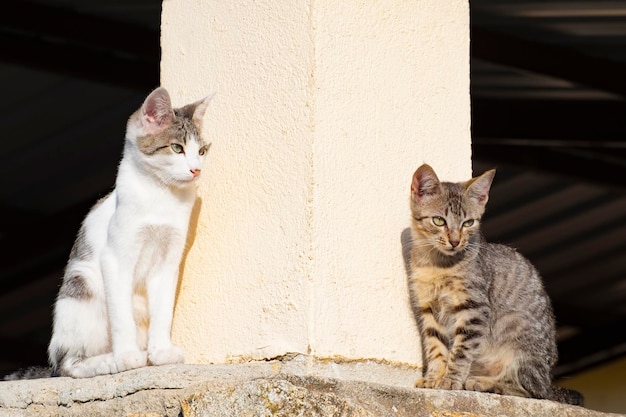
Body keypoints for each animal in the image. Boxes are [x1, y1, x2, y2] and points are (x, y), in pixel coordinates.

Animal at [410, 162, 580, 404]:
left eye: (468, 223)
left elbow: (460, 351)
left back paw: (485, 382)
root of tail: (549, 380)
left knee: (532, 391)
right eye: (439, 221)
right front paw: (434, 377)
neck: (437, 264)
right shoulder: (428, 308)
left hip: (516, 326)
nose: (455, 241)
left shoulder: (475, 308)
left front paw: (451, 380)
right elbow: (436, 347)